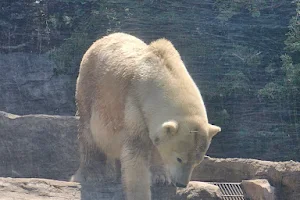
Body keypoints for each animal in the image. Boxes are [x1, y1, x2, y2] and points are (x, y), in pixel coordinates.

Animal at [71, 33, 219, 200]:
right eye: (179, 158)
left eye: (197, 161)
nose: (181, 184)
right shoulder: (135, 105)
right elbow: (136, 151)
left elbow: (156, 146)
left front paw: (161, 177)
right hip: (90, 87)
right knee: (89, 133)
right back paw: (92, 174)